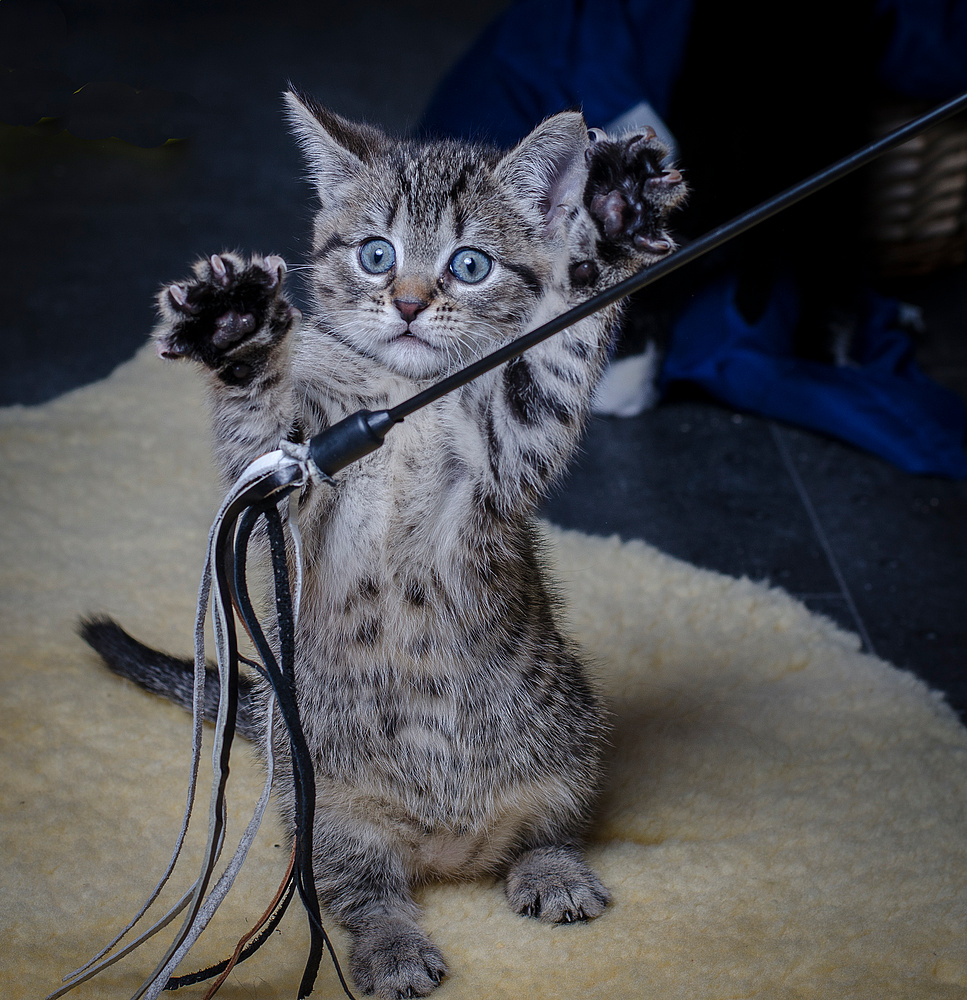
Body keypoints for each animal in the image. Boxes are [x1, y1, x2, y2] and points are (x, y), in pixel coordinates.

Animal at [85, 90, 688, 996]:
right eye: (376, 254)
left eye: (469, 265)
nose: (405, 302)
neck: (403, 393)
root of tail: (448, 851)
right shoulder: (293, 484)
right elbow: (259, 426)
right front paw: (235, 329)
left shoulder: (503, 464)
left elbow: (548, 365)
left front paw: (611, 218)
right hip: (321, 803)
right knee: (357, 891)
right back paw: (393, 949)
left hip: (566, 742)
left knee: (543, 830)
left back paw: (550, 873)